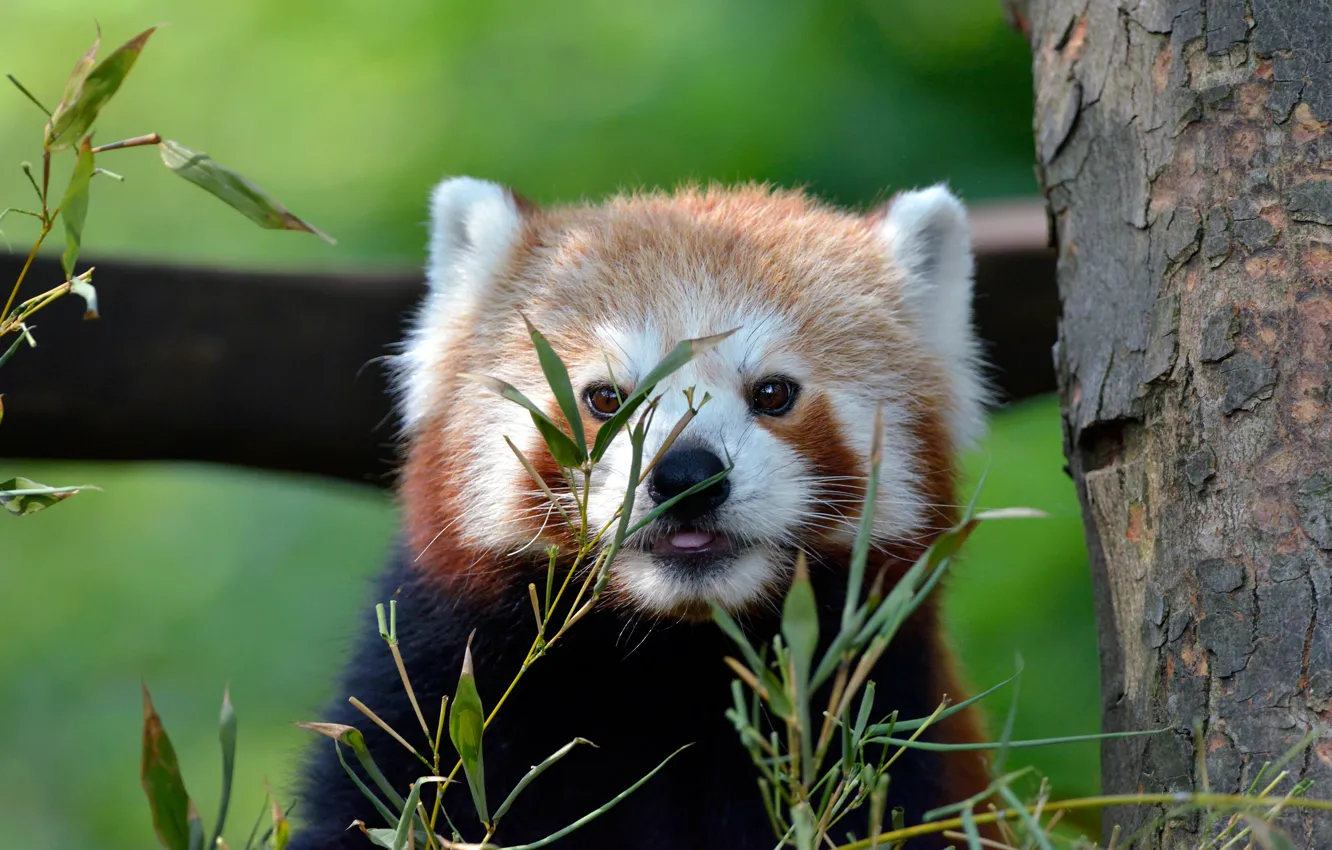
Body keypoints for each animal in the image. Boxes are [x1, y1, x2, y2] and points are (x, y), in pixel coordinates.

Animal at [294, 175, 1001, 847]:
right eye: (606, 398)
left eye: (774, 393)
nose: (687, 475)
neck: (664, 668)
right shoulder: (437, 686)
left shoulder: (886, 711)